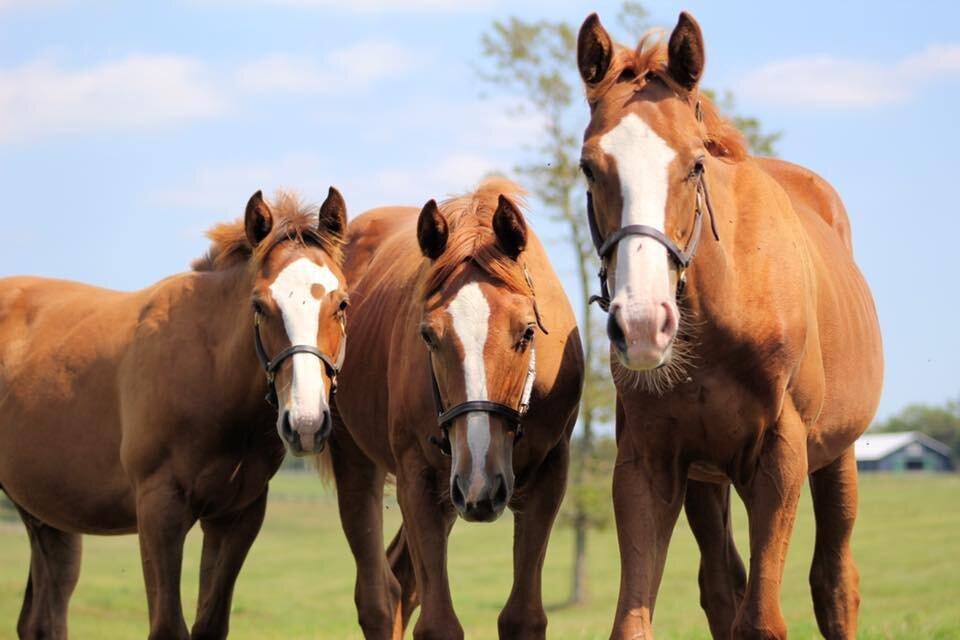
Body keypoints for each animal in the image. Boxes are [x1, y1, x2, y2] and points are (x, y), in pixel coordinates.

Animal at [0, 188, 350, 636]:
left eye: (341, 304)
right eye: (260, 305)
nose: (305, 423)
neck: (208, 370)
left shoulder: (236, 516)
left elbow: (210, 624)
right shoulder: (158, 511)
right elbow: (168, 625)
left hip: (47, 519)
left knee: (41, 619)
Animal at [330, 179, 580, 640]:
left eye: (527, 332)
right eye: (429, 335)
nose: (480, 481)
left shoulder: (549, 475)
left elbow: (523, 617)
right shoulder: (417, 480)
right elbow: (438, 625)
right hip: (360, 462)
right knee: (378, 597)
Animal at [576, 11, 884, 640]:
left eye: (695, 164)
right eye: (589, 166)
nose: (642, 325)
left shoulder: (780, 455)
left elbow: (762, 619)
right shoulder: (649, 463)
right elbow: (640, 619)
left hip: (837, 455)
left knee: (835, 583)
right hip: (706, 479)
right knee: (721, 586)